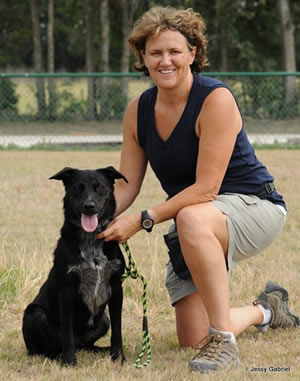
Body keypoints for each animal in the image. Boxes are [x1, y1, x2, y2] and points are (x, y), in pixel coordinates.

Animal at [22, 166, 127, 366]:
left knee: (87, 344)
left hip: (103, 320)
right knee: (45, 350)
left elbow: (117, 331)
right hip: (34, 313)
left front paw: (118, 357)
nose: (89, 206)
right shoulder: (67, 291)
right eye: (78, 188)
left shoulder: (116, 288)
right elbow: (67, 334)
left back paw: (99, 349)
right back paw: (58, 357)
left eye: (99, 187)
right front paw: (70, 362)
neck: (91, 240)